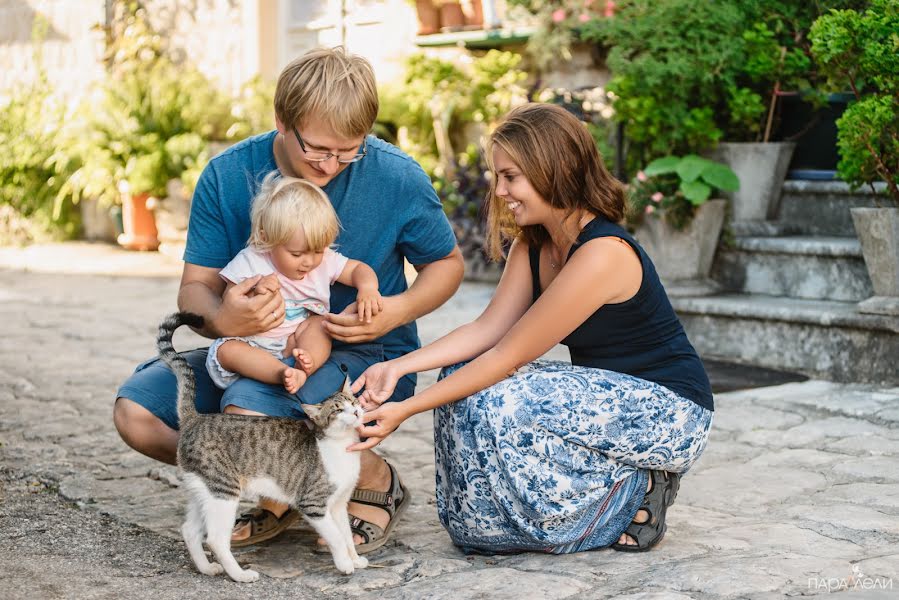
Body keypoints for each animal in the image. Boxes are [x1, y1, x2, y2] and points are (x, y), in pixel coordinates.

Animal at [156, 312, 368, 584]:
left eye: (353, 401)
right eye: (338, 410)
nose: (356, 411)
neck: (342, 446)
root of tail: (195, 418)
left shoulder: (340, 504)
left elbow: (346, 535)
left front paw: (355, 559)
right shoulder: (313, 504)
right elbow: (337, 537)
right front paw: (344, 564)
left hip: (203, 490)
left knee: (190, 530)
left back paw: (206, 568)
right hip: (224, 490)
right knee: (215, 539)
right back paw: (240, 575)